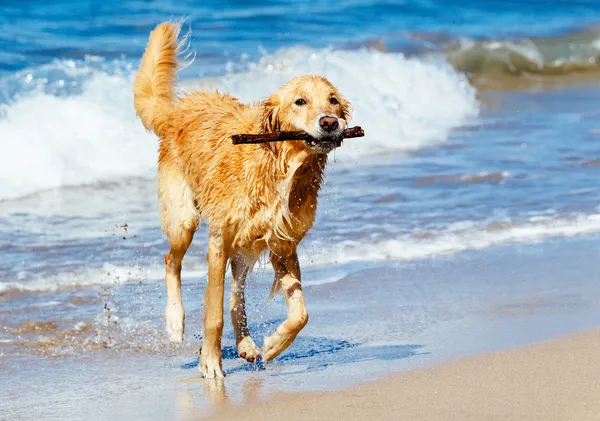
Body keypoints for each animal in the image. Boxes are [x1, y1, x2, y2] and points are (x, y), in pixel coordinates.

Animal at [132, 22, 352, 378]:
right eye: (300, 101)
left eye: (332, 101)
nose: (330, 123)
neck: (281, 167)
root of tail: (178, 109)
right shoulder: (218, 242)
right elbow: (213, 314)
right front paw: (210, 363)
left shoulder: (283, 243)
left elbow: (300, 313)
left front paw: (275, 344)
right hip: (184, 219)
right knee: (171, 261)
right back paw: (175, 322)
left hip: (245, 246)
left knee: (237, 295)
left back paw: (247, 343)